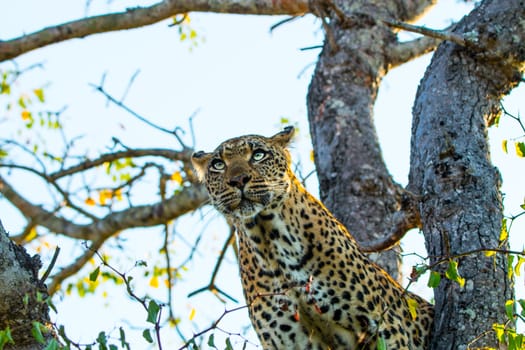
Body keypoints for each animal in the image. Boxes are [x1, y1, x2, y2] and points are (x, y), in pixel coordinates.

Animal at [190, 126, 432, 350]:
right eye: (218, 165)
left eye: (258, 155)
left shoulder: (387, 327)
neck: (269, 241)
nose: (239, 180)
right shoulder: (292, 343)